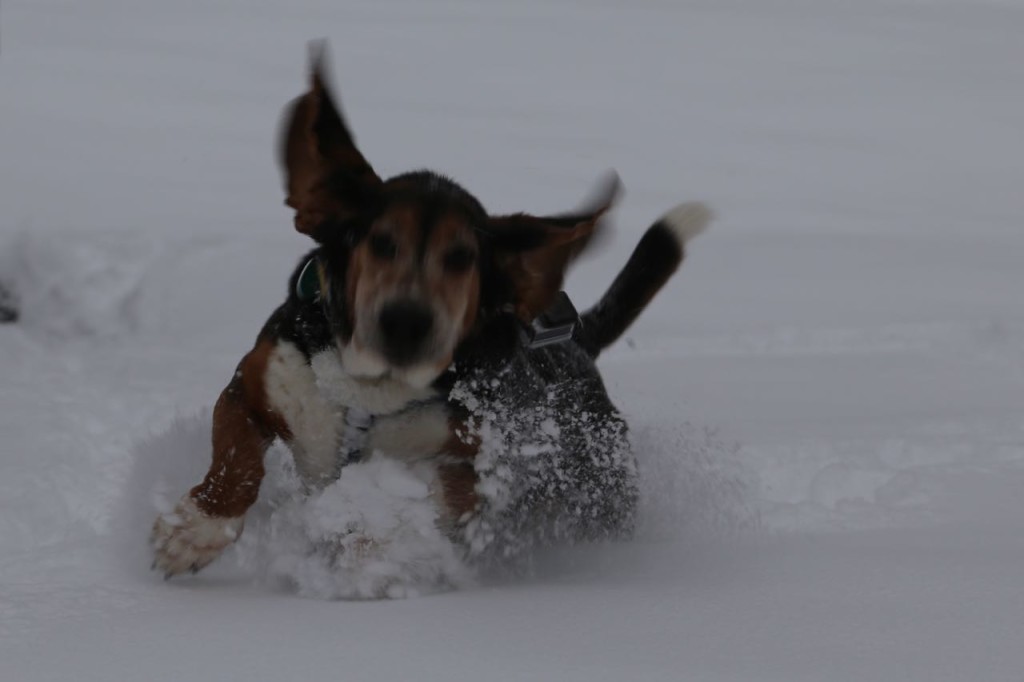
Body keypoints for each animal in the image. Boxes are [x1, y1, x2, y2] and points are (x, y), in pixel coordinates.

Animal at [151, 41, 712, 573]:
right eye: (381, 242)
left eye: (461, 258)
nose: (406, 321)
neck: (371, 390)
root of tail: (579, 347)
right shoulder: (256, 384)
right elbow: (236, 456)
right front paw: (196, 529)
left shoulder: (492, 468)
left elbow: (429, 488)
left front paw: (367, 542)